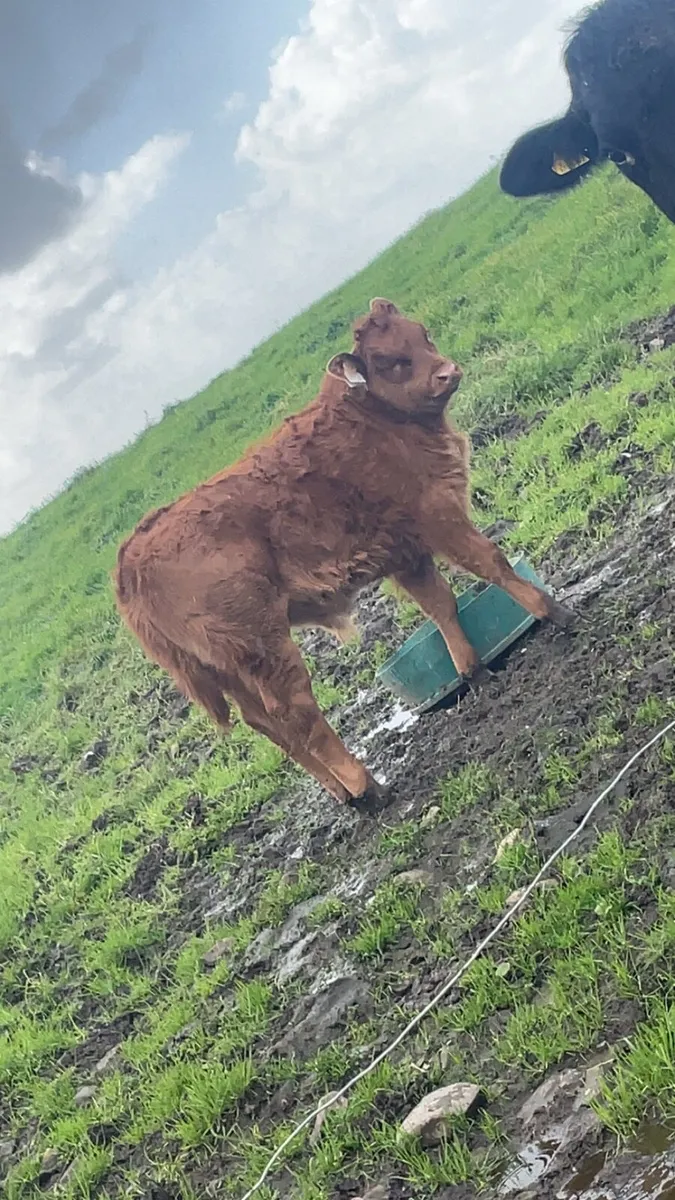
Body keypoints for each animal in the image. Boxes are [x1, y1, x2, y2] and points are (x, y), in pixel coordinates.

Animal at [114, 299, 573, 814]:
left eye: (422, 334)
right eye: (389, 360)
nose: (447, 372)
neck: (373, 418)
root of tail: (131, 558)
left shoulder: (406, 551)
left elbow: (441, 605)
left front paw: (473, 671)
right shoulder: (438, 516)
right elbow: (490, 561)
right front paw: (554, 611)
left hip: (230, 667)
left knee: (267, 725)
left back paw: (342, 792)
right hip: (264, 645)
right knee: (294, 712)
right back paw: (367, 787)